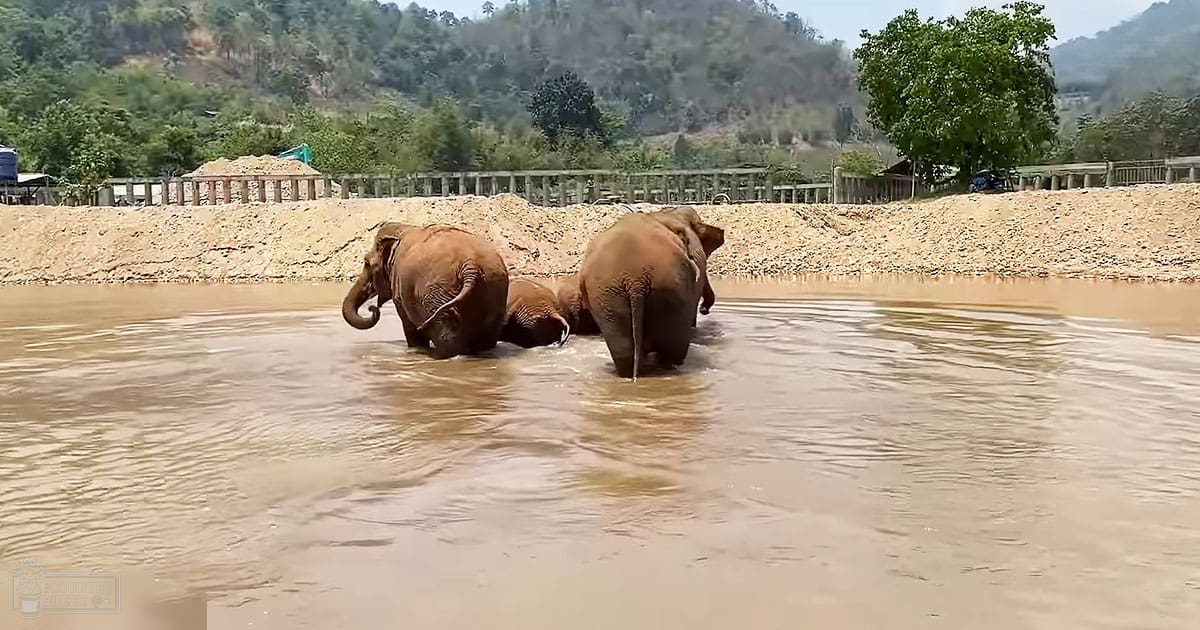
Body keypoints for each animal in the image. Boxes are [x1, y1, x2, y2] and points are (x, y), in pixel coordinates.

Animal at [342, 223, 510, 359]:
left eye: (366, 262)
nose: (372, 308)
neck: (402, 229)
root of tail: (470, 267)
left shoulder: (401, 290)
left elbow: (409, 325)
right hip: (494, 288)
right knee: (486, 340)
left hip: (437, 295)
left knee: (448, 338)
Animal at [578, 208, 725, 379]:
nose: (704, 309)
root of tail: (634, 280)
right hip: (666, 289)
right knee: (674, 351)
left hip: (607, 298)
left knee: (625, 353)